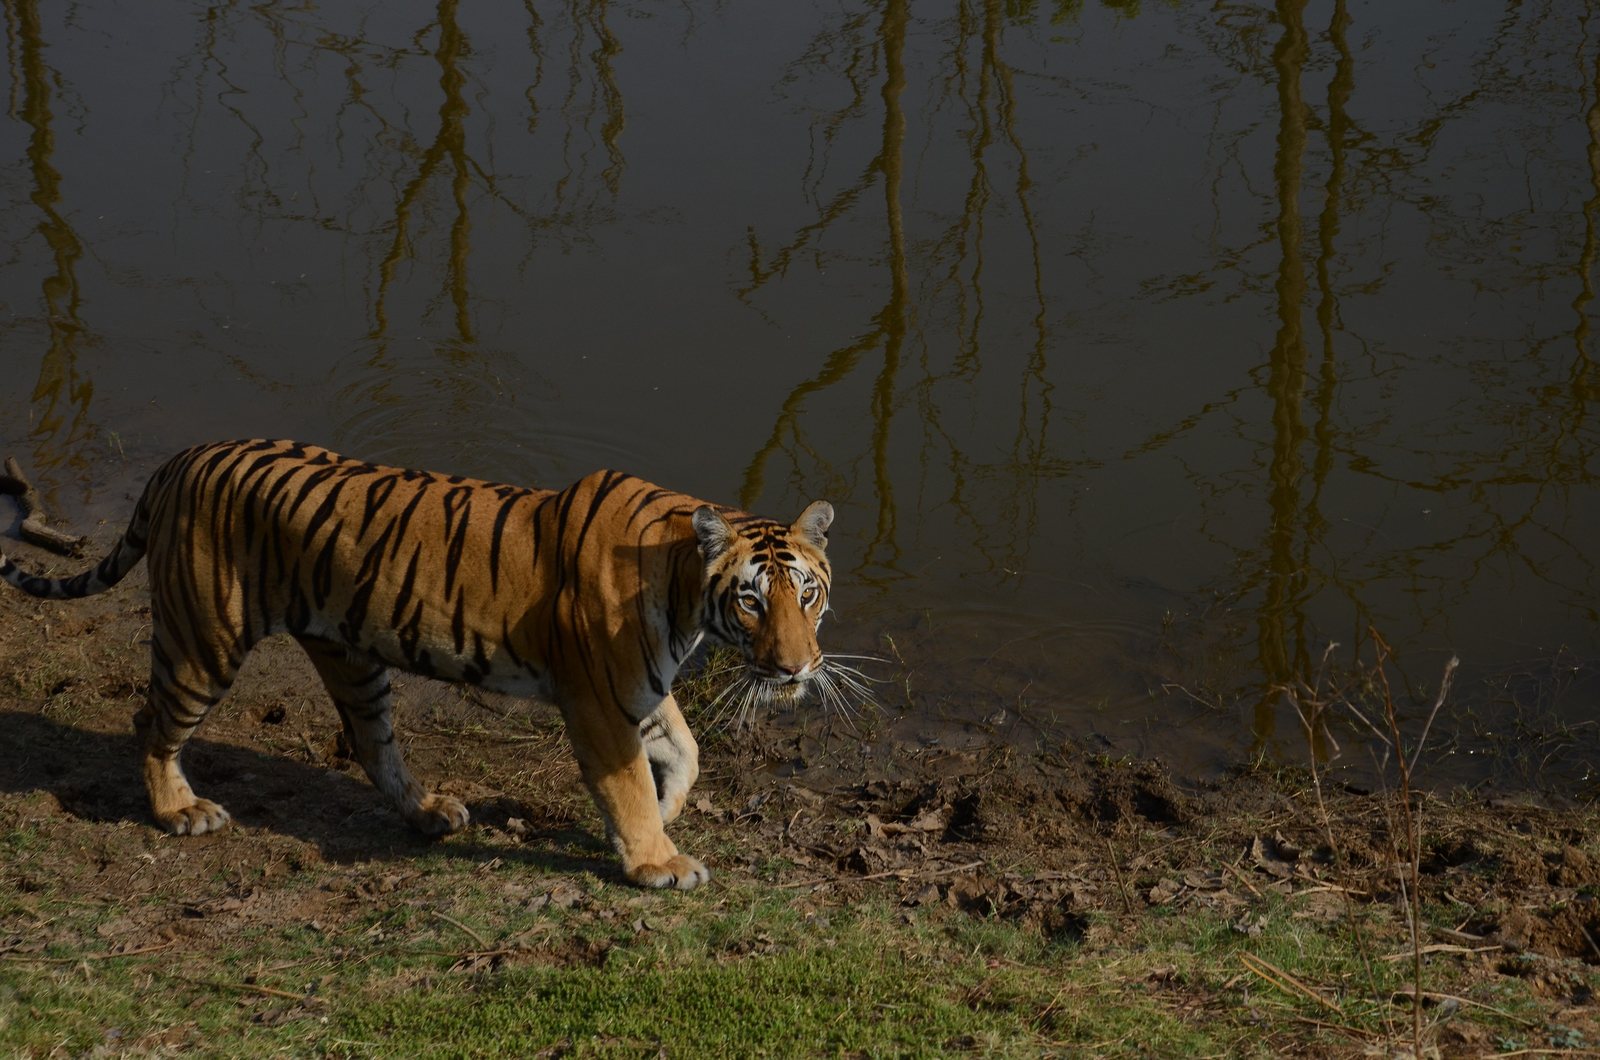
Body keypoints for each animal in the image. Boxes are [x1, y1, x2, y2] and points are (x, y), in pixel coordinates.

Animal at [0, 439, 841, 890]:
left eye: (807, 593)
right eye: (752, 601)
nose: (797, 670)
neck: (679, 585)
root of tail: (181, 458)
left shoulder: (636, 683)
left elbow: (684, 749)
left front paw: (661, 821)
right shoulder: (599, 700)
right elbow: (628, 781)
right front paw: (655, 861)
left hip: (350, 658)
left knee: (373, 746)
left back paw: (431, 813)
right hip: (206, 637)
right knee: (151, 717)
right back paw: (178, 810)